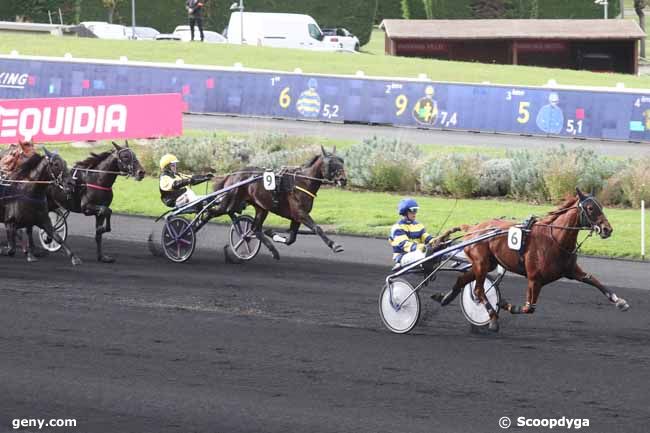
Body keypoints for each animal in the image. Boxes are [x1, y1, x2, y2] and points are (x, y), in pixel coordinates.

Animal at [211, 145, 344, 260]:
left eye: (342, 161)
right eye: (331, 163)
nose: (343, 179)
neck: (302, 182)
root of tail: (232, 175)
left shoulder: (296, 217)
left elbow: (291, 239)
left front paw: (271, 233)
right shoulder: (300, 213)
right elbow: (317, 228)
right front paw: (334, 245)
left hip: (261, 207)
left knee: (255, 228)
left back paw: (272, 250)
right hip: (230, 200)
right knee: (216, 212)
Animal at [432, 187, 624, 332]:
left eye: (601, 206)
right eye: (590, 208)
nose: (607, 229)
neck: (554, 238)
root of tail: (472, 228)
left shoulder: (571, 270)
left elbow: (593, 280)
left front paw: (620, 301)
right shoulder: (534, 278)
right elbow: (528, 307)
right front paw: (505, 305)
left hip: (486, 263)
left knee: (463, 279)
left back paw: (445, 297)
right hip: (481, 262)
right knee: (479, 290)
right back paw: (493, 319)